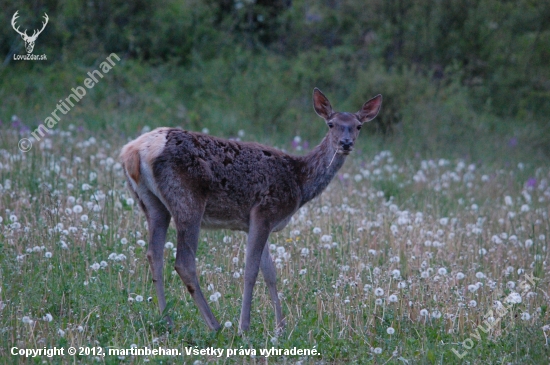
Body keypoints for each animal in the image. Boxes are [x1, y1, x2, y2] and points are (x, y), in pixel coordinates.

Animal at [118, 88, 382, 332]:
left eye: (358, 126)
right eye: (331, 124)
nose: (346, 143)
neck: (299, 183)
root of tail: (134, 150)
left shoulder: (256, 222)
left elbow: (270, 273)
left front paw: (280, 327)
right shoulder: (265, 211)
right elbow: (251, 271)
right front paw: (244, 326)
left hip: (151, 203)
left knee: (154, 254)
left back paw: (167, 320)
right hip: (188, 200)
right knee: (183, 262)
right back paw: (214, 325)